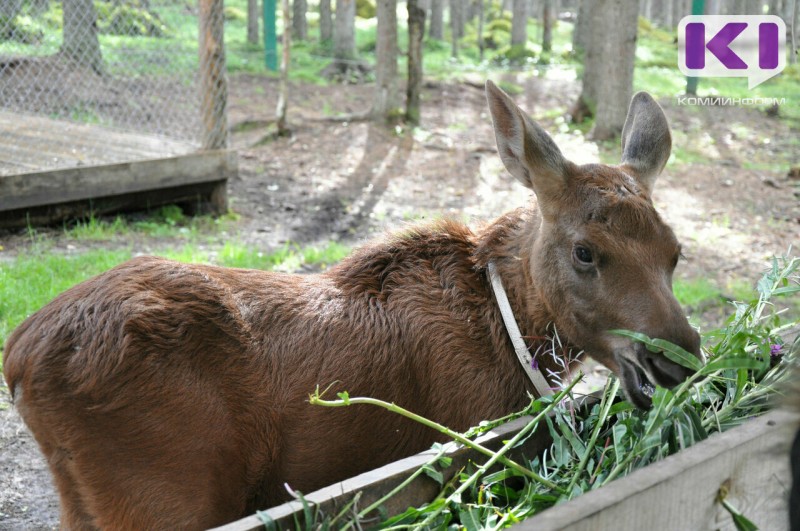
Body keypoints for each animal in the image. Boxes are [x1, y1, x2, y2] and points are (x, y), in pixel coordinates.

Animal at [1, 81, 700, 528]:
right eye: (585, 252)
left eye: (675, 250)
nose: (680, 357)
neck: (517, 336)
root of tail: (18, 362)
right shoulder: (469, 451)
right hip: (162, 501)